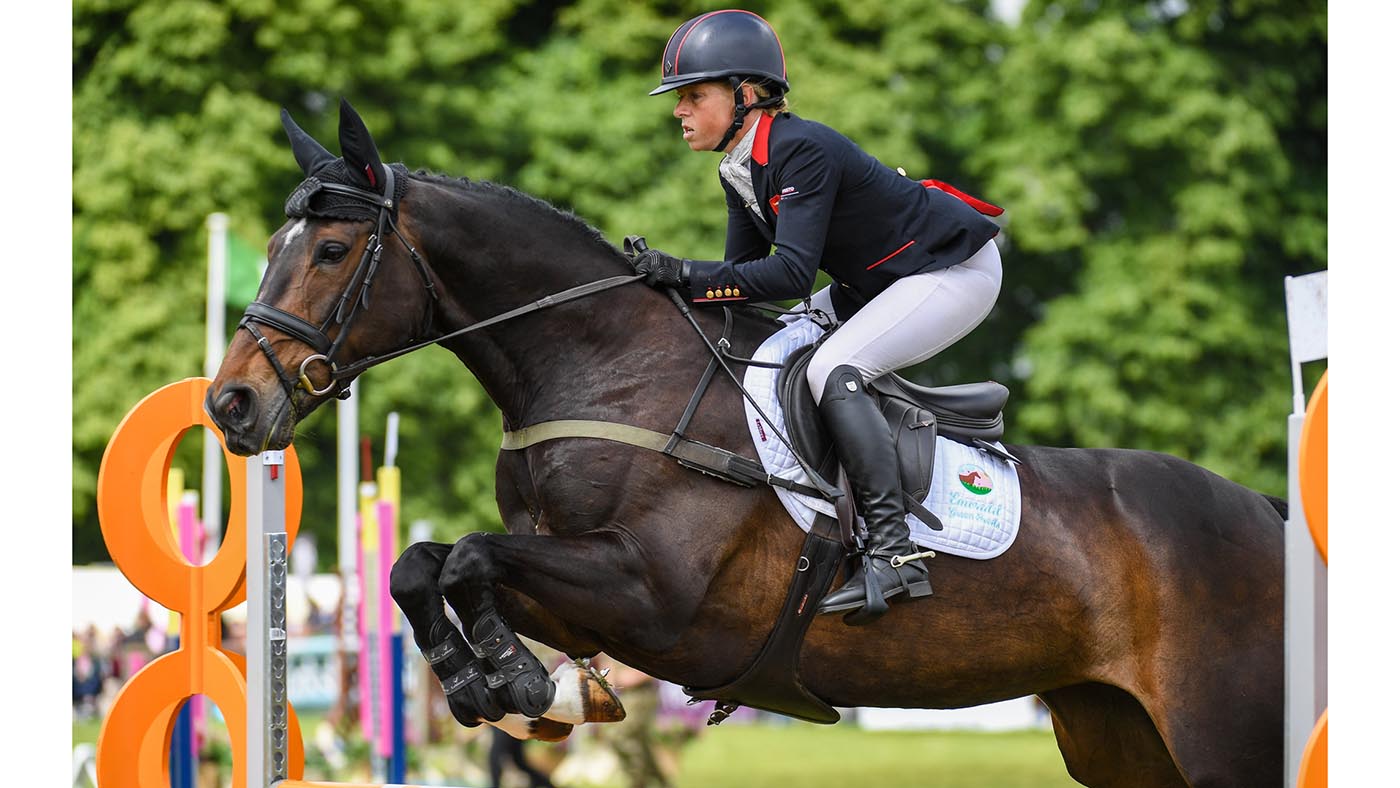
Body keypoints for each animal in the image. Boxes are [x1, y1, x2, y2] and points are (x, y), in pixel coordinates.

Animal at [206, 99, 1284, 788]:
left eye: (332, 251)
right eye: (273, 249)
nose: (231, 404)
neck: (605, 368)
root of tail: (1267, 515)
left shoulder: (654, 594)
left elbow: (466, 555)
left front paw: (514, 681)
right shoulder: (578, 588)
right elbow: (422, 565)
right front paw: (501, 683)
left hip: (1220, 735)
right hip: (1118, 736)